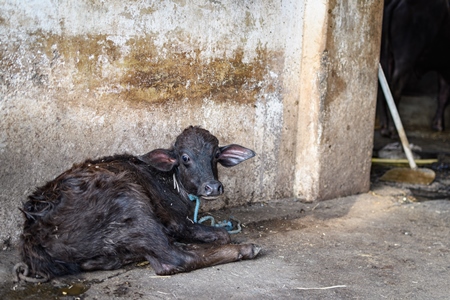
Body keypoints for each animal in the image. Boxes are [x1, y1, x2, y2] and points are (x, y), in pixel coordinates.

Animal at [16, 126, 260, 282]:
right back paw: (247, 249)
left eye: (216, 155)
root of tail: (32, 231)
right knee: (173, 259)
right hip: (132, 202)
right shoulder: (177, 222)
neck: (170, 183)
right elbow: (222, 234)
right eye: (185, 158)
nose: (212, 187)